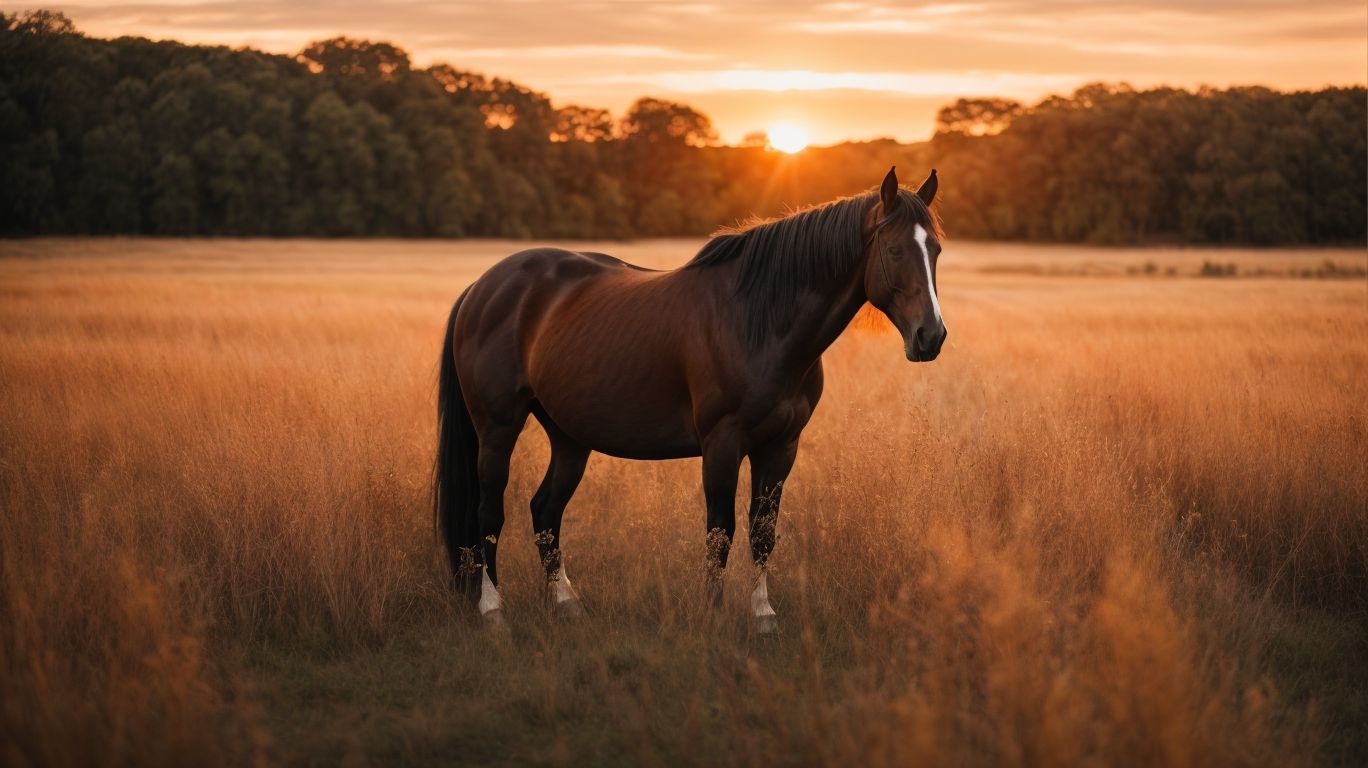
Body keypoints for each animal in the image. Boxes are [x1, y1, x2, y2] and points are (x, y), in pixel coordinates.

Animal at [434, 166, 945, 633]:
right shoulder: (721, 444)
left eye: (936, 250)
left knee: (545, 511)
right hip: (497, 428)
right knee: (489, 513)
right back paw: (493, 610)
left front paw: (763, 617)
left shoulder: (781, 447)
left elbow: (763, 533)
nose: (931, 336)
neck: (759, 320)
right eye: (895, 250)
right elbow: (720, 532)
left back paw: (566, 603)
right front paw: (712, 616)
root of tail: (482, 287)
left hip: (569, 437)